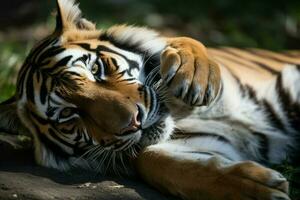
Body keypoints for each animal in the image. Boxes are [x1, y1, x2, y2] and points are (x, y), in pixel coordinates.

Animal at [0, 0, 298, 199]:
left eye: (96, 69)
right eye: (68, 114)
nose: (134, 122)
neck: (181, 114)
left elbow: (185, 43)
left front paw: (193, 73)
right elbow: (160, 162)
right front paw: (256, 188)